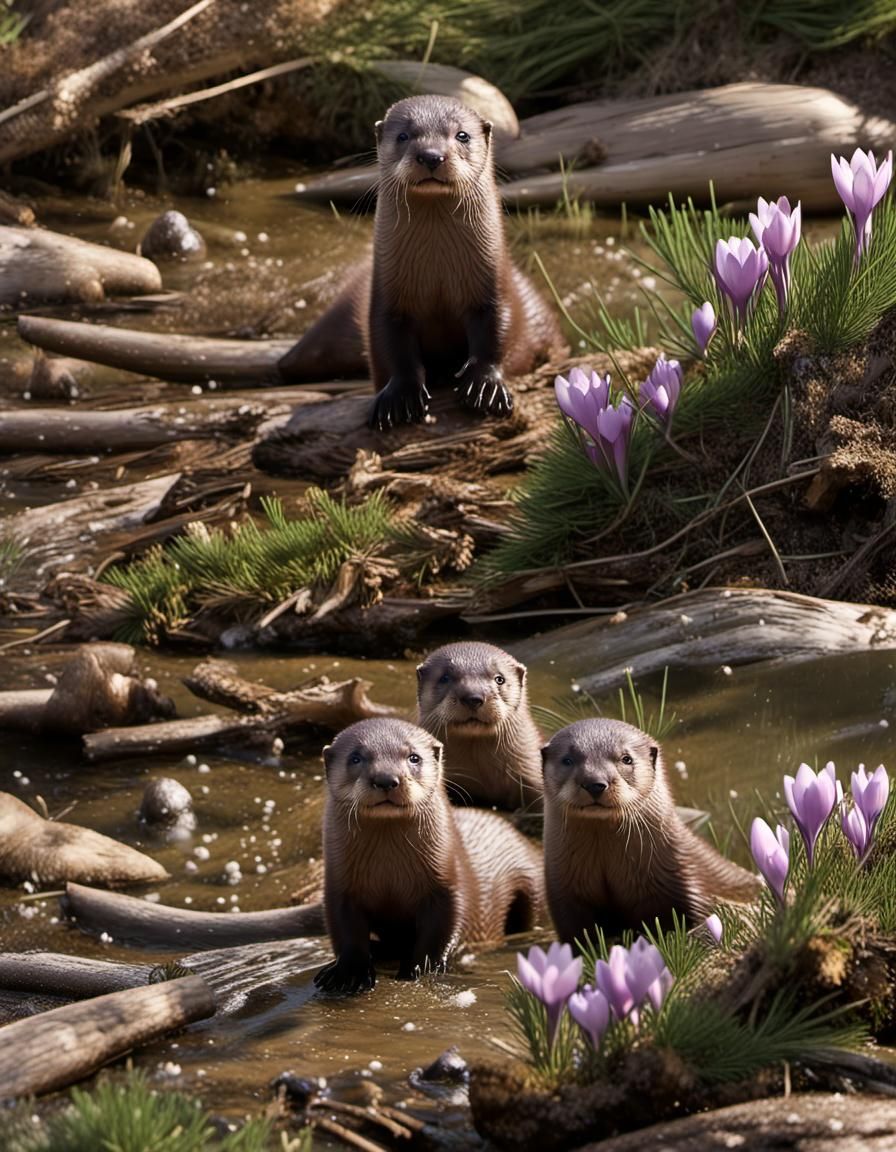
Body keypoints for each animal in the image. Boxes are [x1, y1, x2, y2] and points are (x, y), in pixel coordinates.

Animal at [278, 95, 565, 428]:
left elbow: (498, 331)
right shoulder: (385, 298)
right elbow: (391, 343)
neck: (437, 274)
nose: (431, 155)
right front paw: (399, 396)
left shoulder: (496, 286)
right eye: (403, 135)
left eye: (462, 135)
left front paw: (486, 385)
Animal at [314, 718, 544, 994]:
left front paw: (420, 968)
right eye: (356, 757)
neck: (389, 875)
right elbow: (344, 931)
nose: (386, 779)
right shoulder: (339, 888)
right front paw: (348, 973)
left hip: (530, 886)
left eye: (414, 757)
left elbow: (442, 929)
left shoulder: (447, 884)